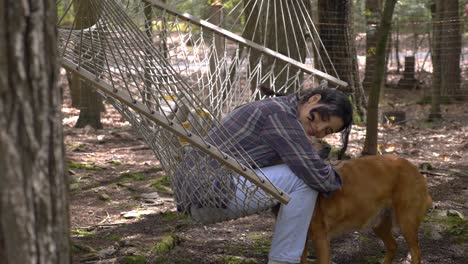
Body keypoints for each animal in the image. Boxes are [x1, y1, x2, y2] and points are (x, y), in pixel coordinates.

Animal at [274, 155, 432, 264]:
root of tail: (414, 168)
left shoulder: (320, 236)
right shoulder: (301, 238)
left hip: (406, 223)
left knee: (416, 253)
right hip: (379, 225)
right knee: (393, 246)